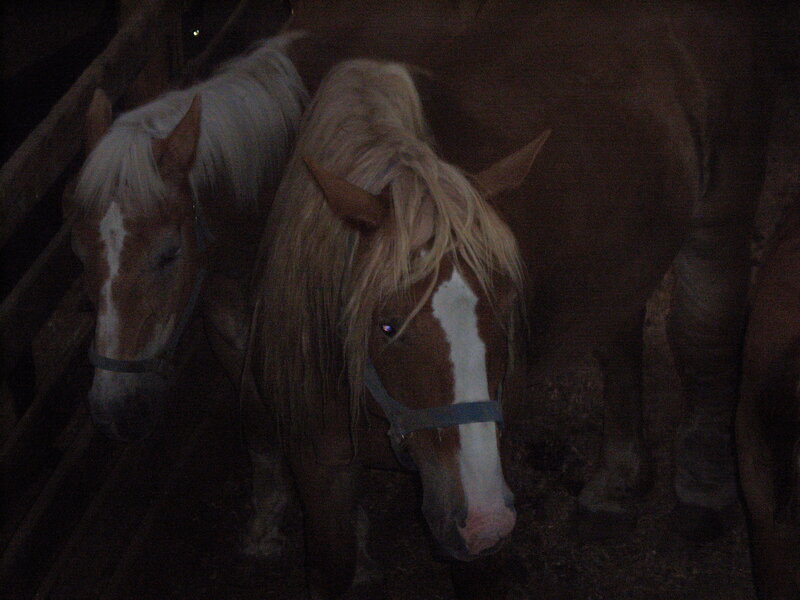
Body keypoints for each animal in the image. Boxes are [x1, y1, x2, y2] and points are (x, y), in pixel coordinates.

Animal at [243, 2, 771, 596]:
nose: (484, 520)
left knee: (706, 331)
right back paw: (615, 490)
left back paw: (702, 493)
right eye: (386, 325)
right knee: (620, 335)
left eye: (503, 308)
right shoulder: (320, 466)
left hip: (722, 207)